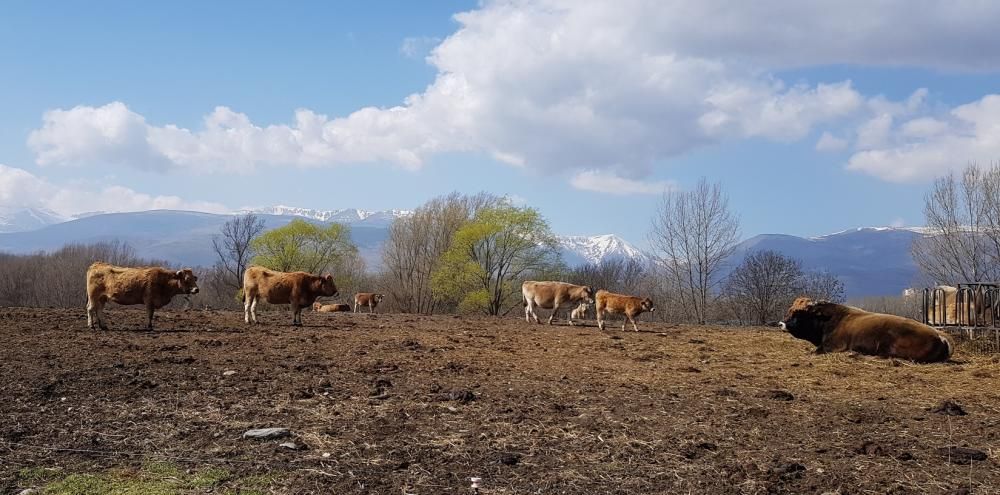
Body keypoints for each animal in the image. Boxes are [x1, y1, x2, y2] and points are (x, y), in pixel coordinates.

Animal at [780, 296, 952, 362]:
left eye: (799, 314)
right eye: (790, 310)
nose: (782, 323)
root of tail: (940, 337)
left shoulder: (833, 346)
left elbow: (816, 351)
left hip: (888, 345)